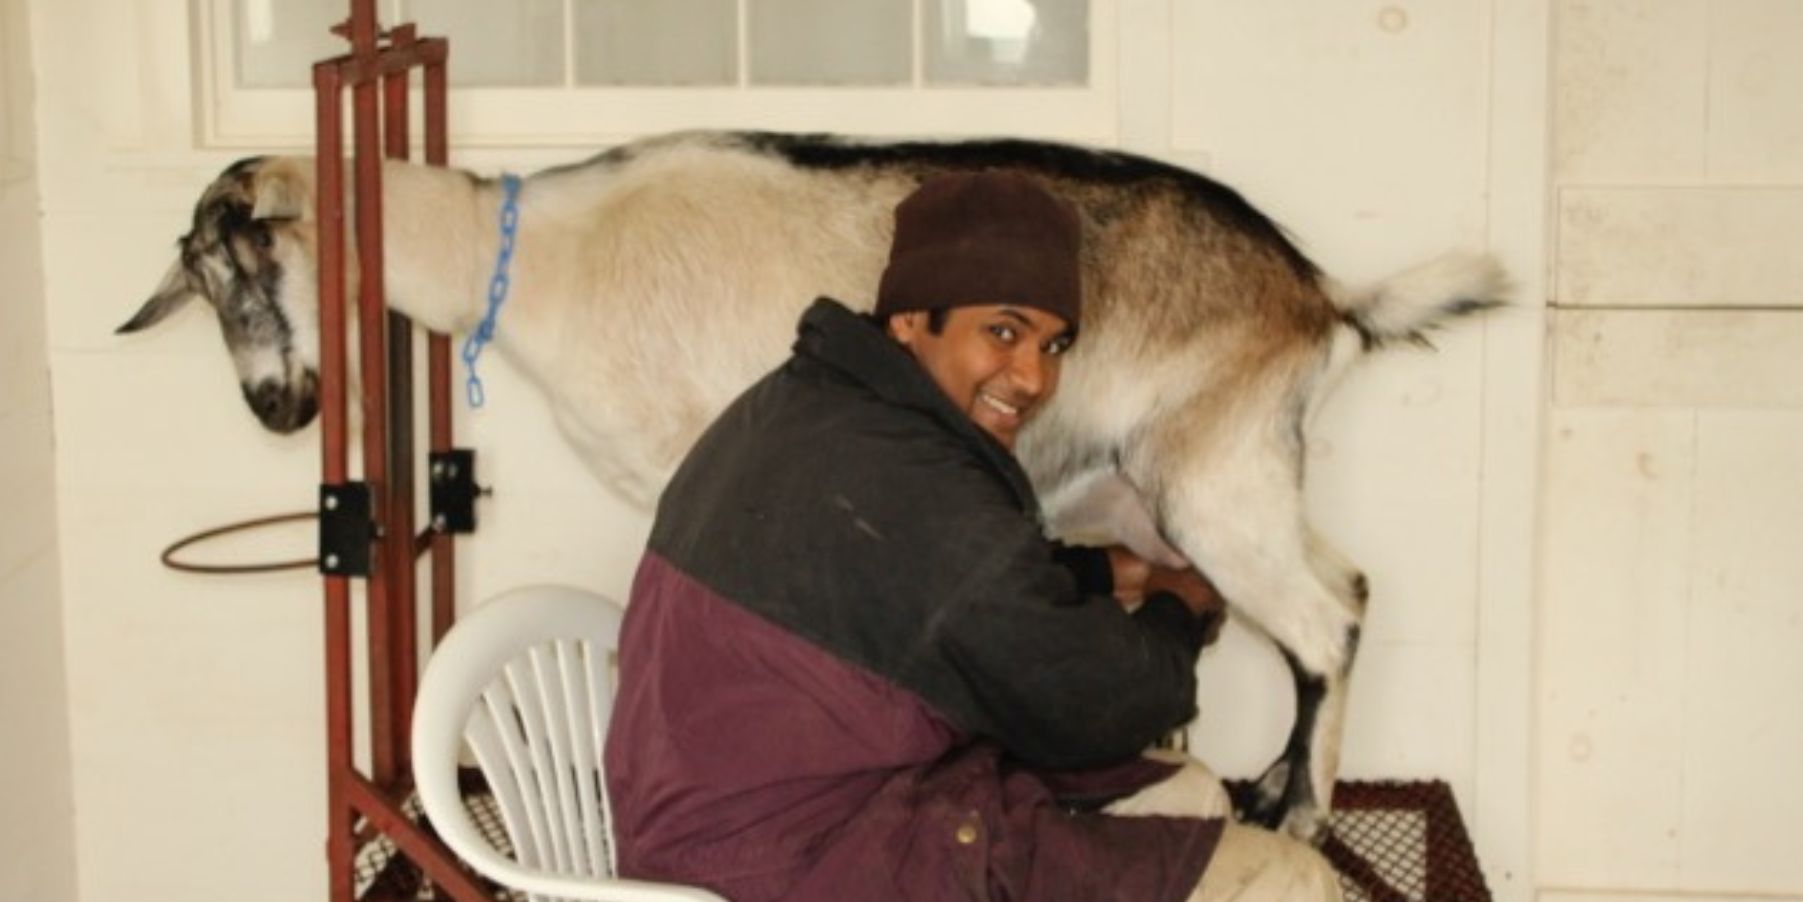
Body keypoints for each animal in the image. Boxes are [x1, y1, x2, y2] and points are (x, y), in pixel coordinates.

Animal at [116, 128, 1507, 837]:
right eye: (203, 283)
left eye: (242, 266)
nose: (278, 408)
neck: (531, 255)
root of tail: (1317, 295)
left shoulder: (686, 456)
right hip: (1203, 481)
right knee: (1341, 587)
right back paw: (1263, 783)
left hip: (1208, 477)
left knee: (1325, 619)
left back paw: (1302, 813)